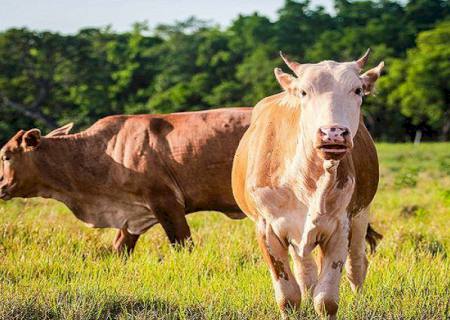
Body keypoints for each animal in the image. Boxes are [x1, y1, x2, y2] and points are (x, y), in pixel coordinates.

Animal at [0, 109, 251, 254]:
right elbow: (119, 248)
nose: (0, 184)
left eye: (6, 156)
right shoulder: (131, 216)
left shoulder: (166, 202)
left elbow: (182, 245)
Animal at [232, 50, 384, 318]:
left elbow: (326, 300)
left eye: (357, 90)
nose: (333, 133)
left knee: (356, 264)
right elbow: (289, 297)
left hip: (361, 214)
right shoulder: (267, 228)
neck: (306, 180)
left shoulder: (341, 226)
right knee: (306, 270)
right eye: (303, 92)